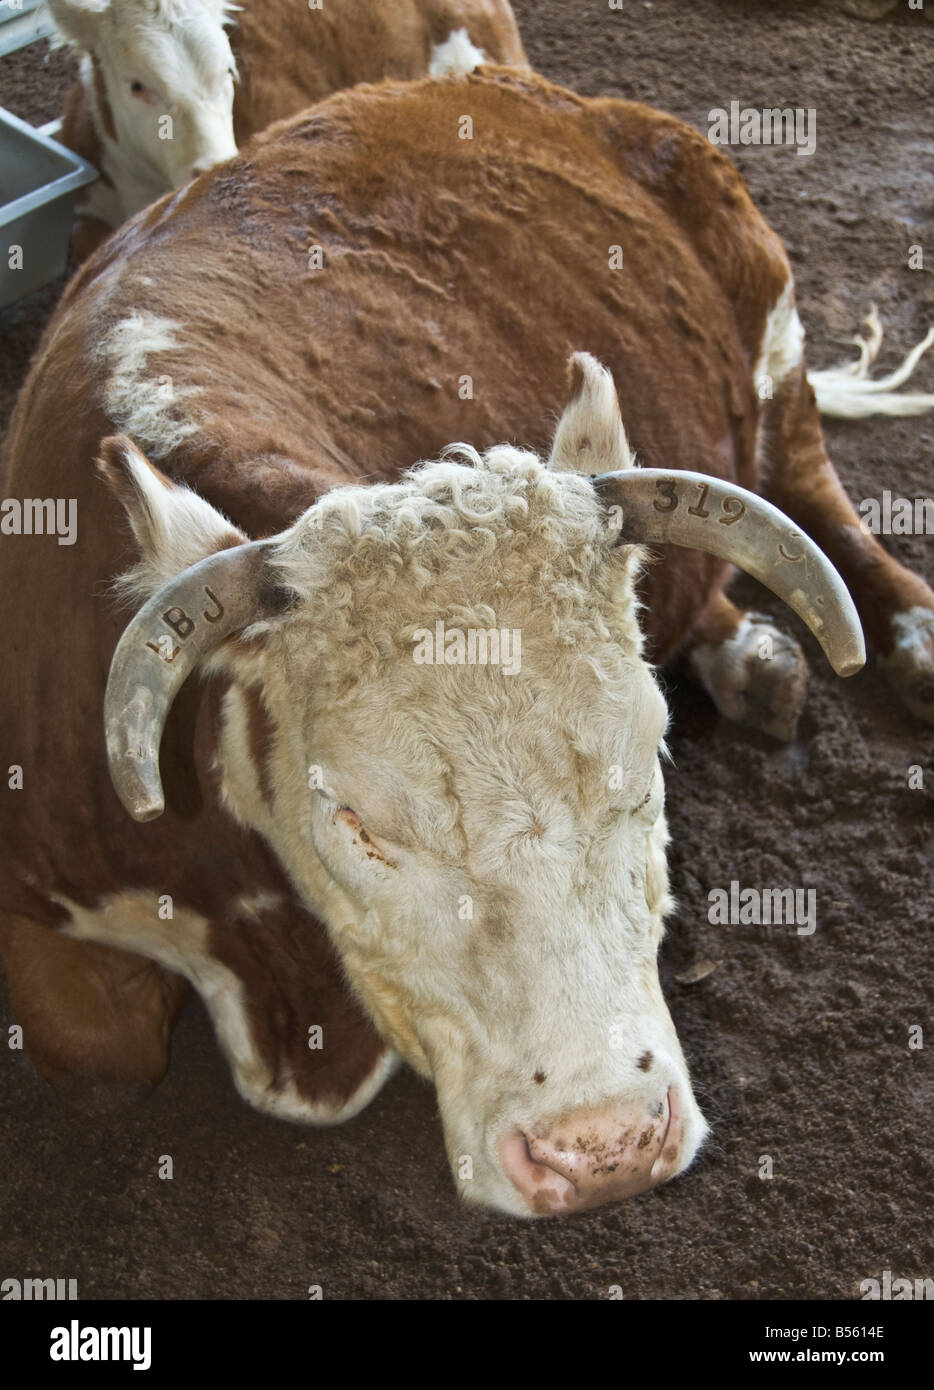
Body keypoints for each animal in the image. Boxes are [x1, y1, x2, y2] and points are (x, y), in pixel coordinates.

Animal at [1, 67, 933, 1217]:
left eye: (646, 763)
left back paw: (900, 634)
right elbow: (98, 1053)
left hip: (770, 310)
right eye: (356, 824)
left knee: (806, 469)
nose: (604, 1143)